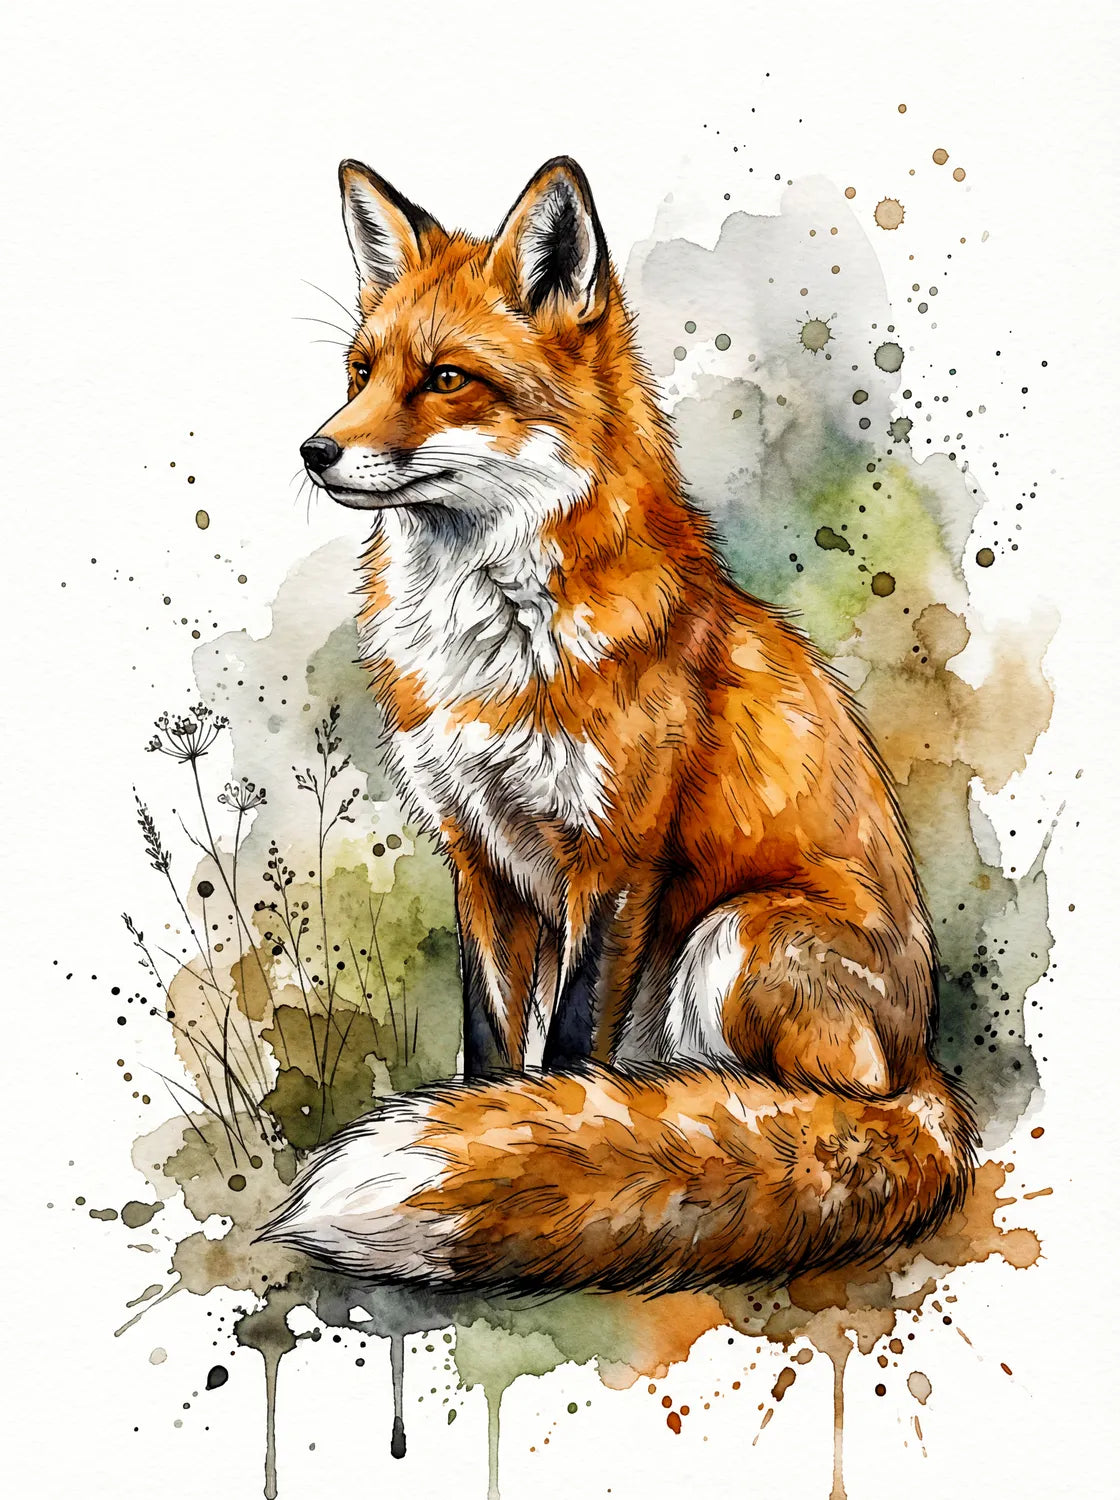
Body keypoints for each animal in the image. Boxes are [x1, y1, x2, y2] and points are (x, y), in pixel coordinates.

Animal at [261, 157, 977, 1294]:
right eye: (360, 369)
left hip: (741, 935)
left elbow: (565, 1056)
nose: (315, 449)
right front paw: (497, 1123)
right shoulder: (480, 854)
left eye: (446, 379)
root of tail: (923, 1071)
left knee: (801, 1106)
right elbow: (492, 1044)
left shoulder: (615, 857)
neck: (489, 648)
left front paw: (552, 1137)